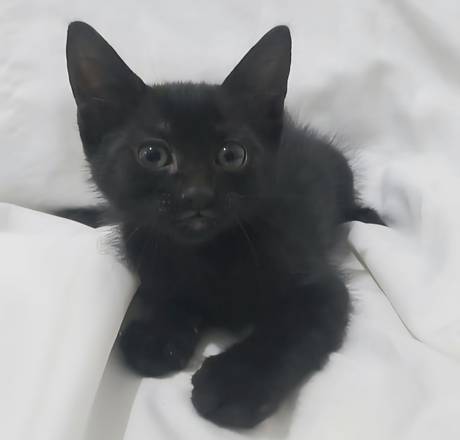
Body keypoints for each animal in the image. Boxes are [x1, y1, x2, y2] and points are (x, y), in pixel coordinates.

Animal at [64, 21, 384, 428]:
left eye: (231, 154)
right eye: (152, 154)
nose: (197, 195)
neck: (207, 254)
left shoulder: (321, 288)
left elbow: (287, 331)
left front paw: (234, 385)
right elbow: (162, 292)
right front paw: (156, 333)